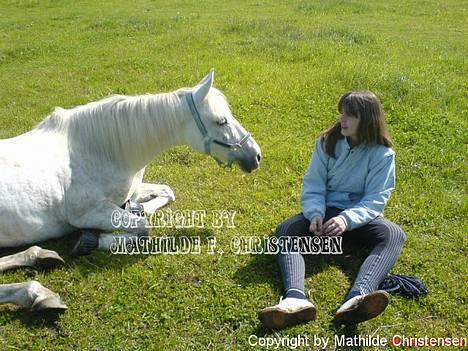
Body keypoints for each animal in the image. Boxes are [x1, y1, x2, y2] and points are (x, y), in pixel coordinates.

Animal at [0, 70, 262, 312]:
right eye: (221, 121)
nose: (256, 156)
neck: (98, 150)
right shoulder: (86, 214)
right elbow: (143, 229)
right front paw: (92, 241)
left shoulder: (130, 193)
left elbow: (166, 193)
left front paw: (138, 209)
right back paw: (37, 294)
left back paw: (39, 257)